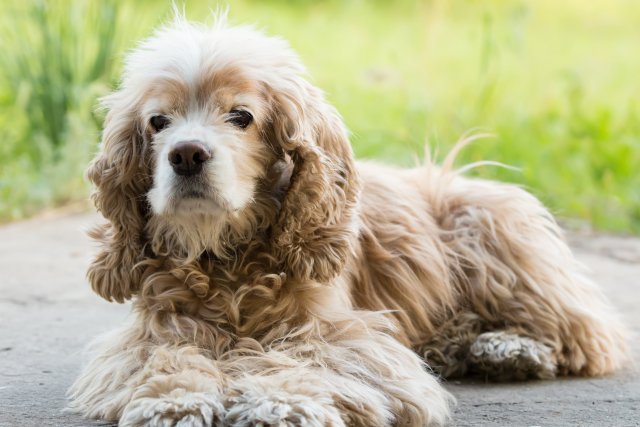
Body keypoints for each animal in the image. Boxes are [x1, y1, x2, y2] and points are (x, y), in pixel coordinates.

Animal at [67, 14, 628, 427]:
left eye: (241, 116)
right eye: (158, 122)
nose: (185, 155)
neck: (228, 261)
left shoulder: (341, 334)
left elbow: (305, 359)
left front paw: (280, 401)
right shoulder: (158, 329)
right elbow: (169, 357)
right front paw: (174, 398)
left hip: (493, 228)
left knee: (588, 336)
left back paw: (508, 347)